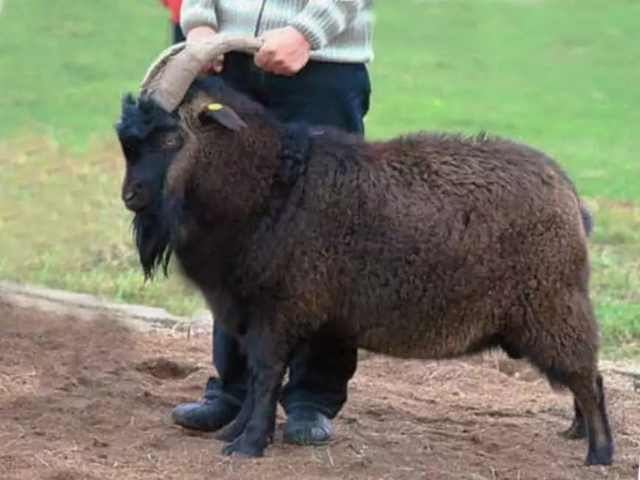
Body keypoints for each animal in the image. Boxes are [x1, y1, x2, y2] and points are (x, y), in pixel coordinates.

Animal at [114, 34, 613, 466]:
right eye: (128, 140)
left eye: (170, 136)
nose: (131, 196)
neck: (275, 184)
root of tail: (570, 196)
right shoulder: (248, 310)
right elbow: (256, 379)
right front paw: (233, 431)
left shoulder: (280, 309)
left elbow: (266, 374)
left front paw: (248, 445)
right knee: (587, 375)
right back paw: (576, 433)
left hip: (552, 305)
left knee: (587, 376)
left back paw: (599, 453)